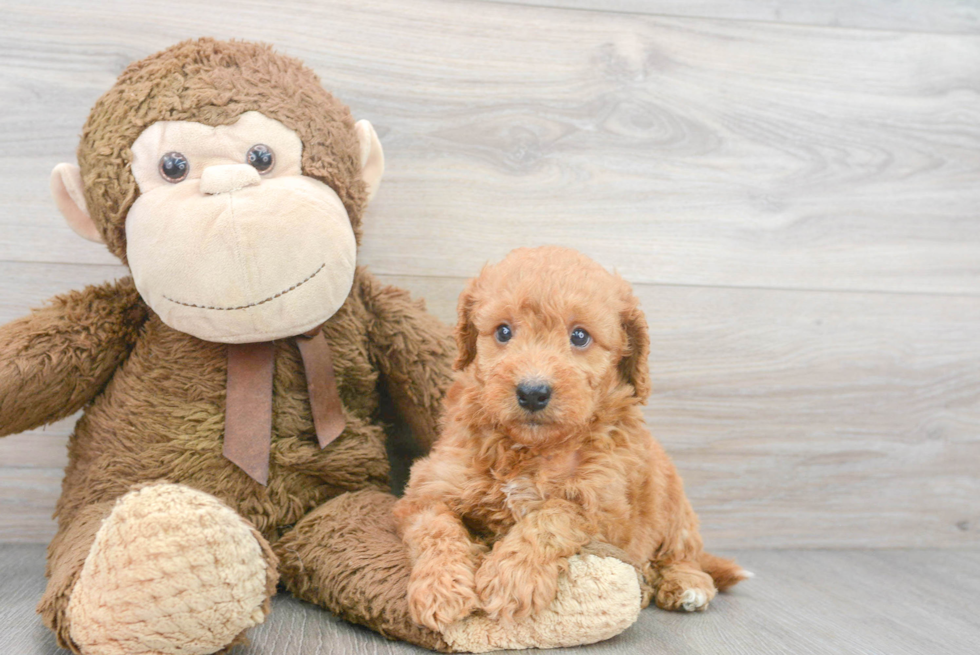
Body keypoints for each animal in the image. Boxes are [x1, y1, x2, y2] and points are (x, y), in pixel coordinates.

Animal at [394, 245, 748, 632]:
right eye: (503, 332)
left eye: (579, 336)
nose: (532, 392)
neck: (530, 447)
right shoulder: (428, 488)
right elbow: (436, 528)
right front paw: (440, 587)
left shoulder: (605, 506)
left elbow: (552, 516)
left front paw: (511, 578)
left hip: (674, 506)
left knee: (684, 554)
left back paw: (686, 584)